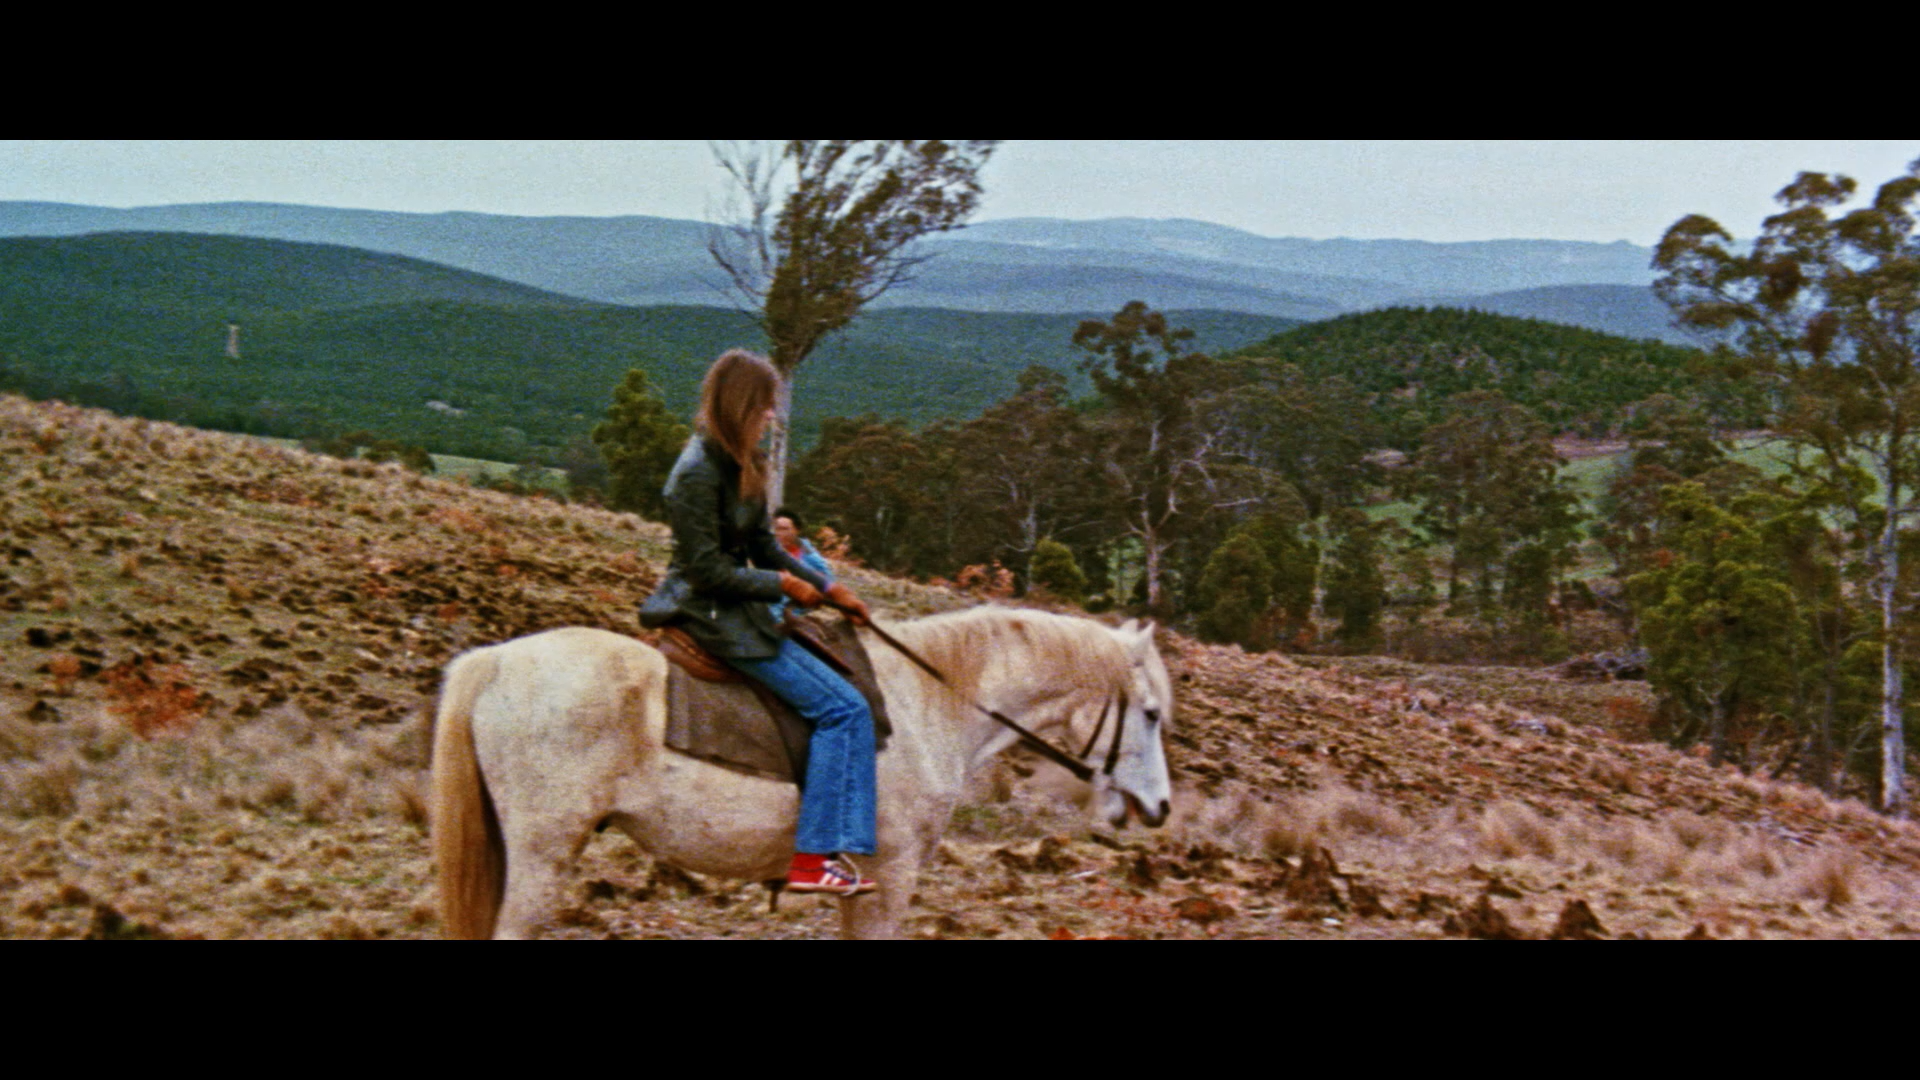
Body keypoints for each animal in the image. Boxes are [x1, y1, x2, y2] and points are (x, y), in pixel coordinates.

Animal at [430, 606, 1177, 939]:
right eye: (1149, 714)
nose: (1161, 808)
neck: (932, 698)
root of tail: (495, 660)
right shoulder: (891, 873)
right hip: (543, 853)